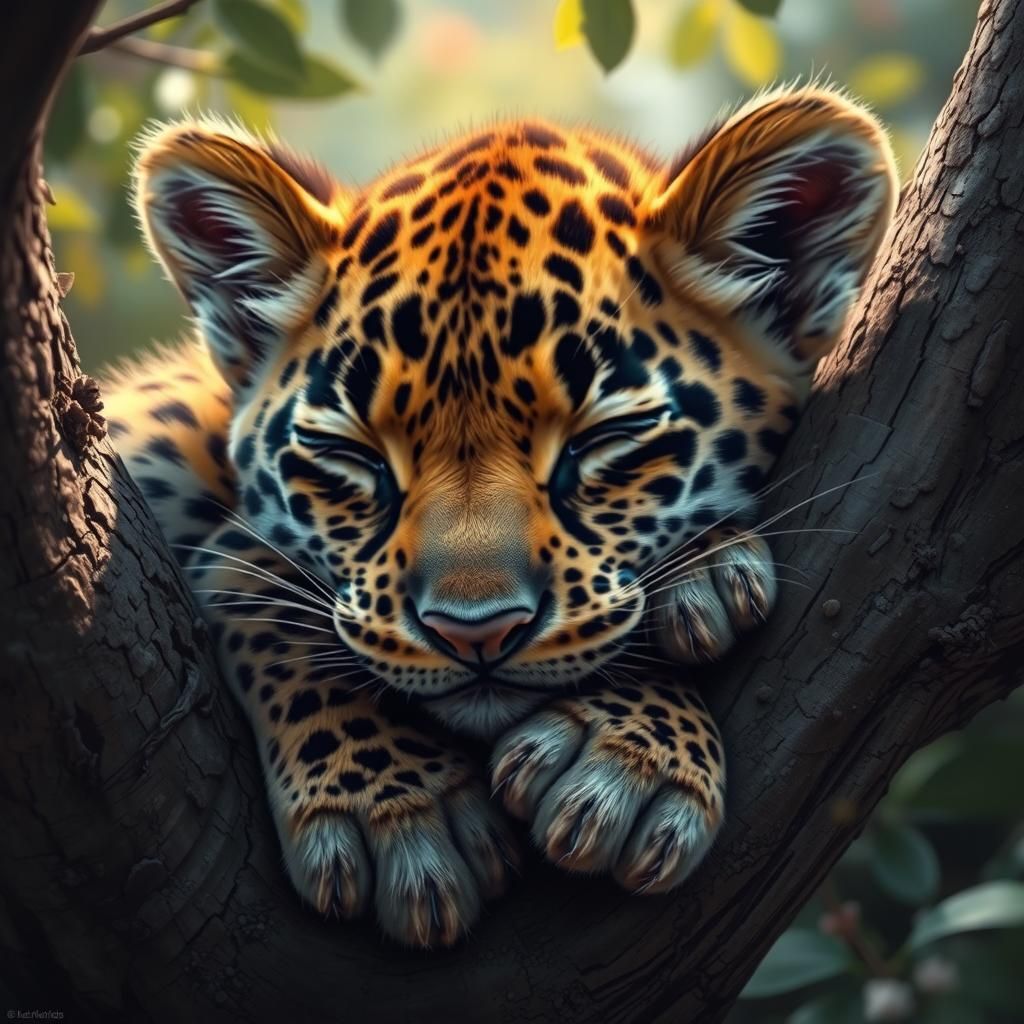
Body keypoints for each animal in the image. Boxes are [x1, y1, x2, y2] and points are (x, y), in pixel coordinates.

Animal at [101, 84, 897, 948]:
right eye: (353, 455)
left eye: (603, 439)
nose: (472, 633)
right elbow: (255, 575)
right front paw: (394, 801)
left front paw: (626, 745)